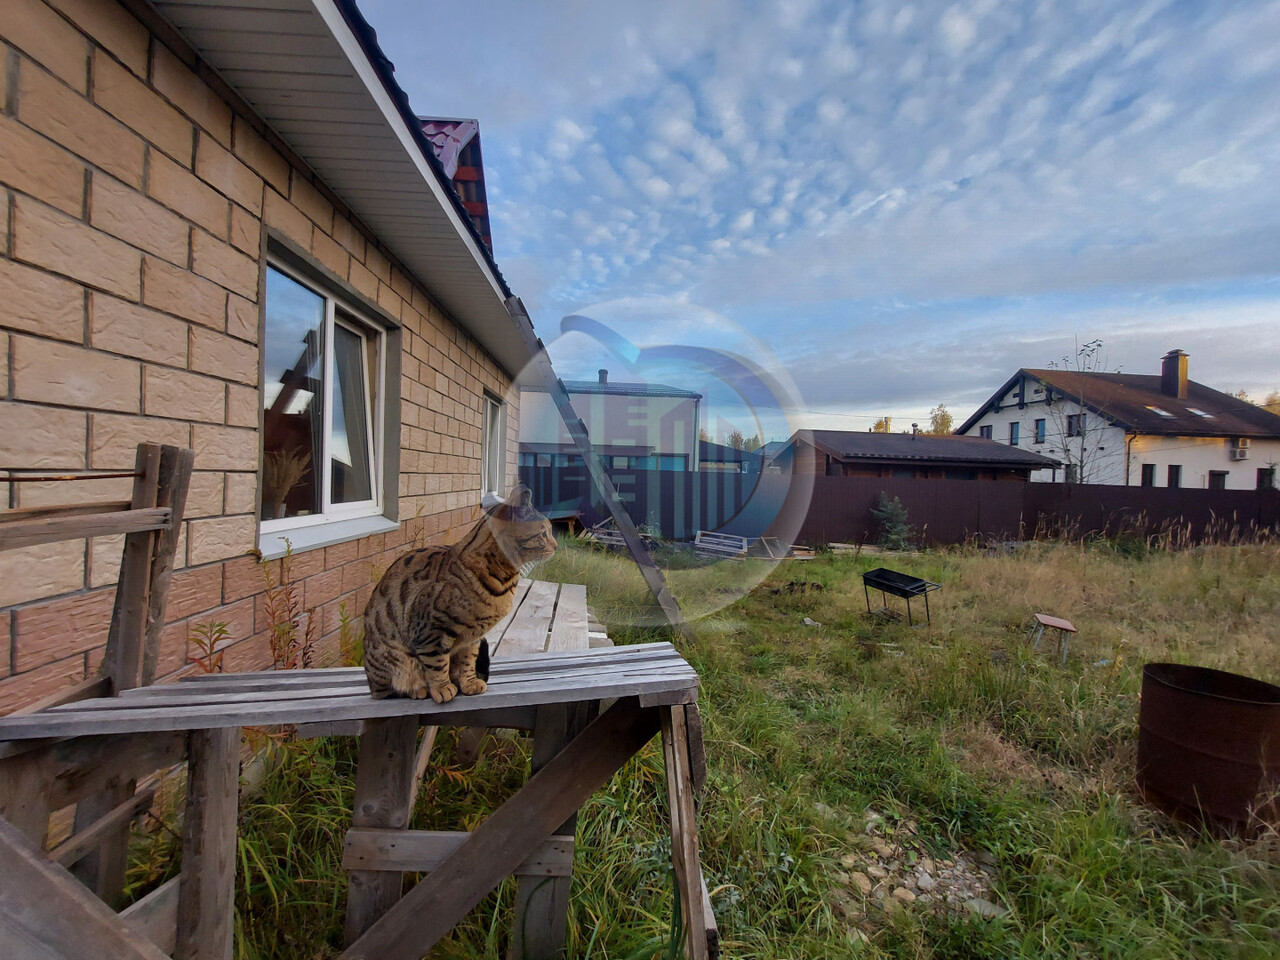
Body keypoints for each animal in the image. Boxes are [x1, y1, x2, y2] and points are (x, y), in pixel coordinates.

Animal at [363, 488, 558, 701]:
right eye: (543, 533)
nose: (556, 545)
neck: (504, 580)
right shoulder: (432, 631)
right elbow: (437, 662)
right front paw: (442, 687)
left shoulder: (472, 637)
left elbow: (467, 661)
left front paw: (469, 682)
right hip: (391, 658)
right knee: (387, 690)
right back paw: (417, 689)